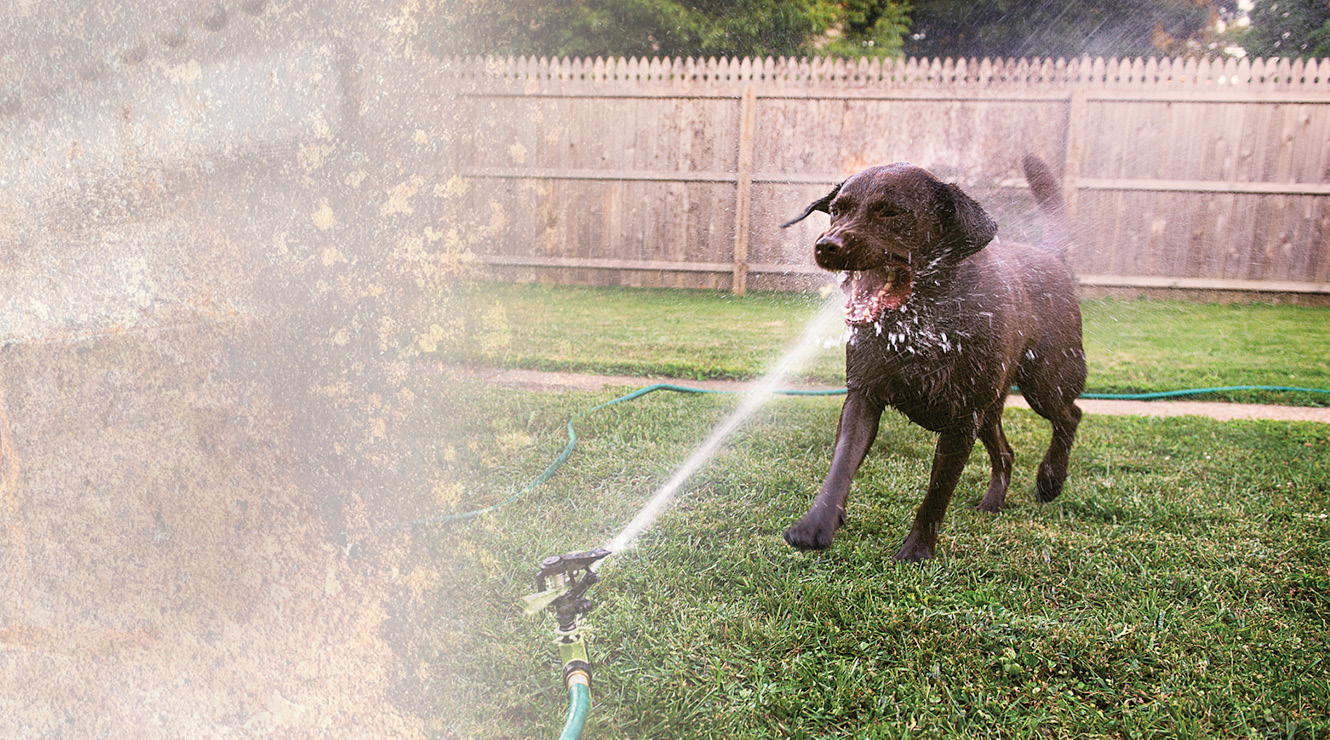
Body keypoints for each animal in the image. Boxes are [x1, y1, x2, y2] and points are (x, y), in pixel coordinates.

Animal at [782, 156, 1085, 561]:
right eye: (836, 210)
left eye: (891, 212)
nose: (827, 245)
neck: (921, 318)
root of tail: (1049, 256)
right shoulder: (864, 396)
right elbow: (841, 465)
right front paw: (816, 525)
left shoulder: (962, 418)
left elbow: (937, 493)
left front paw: (916, 551)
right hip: (991, 407)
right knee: (1006, 453)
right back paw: (994, 501)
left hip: (1043, 381)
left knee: (1070, 415)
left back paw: (1051, 478)